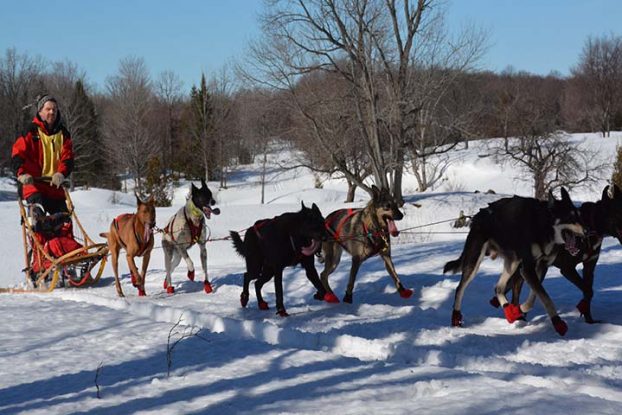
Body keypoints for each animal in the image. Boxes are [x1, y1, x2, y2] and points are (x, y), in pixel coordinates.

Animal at [443, 188, 584, 336]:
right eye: (569, 218)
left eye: (579, 217)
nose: (586, 231)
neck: (543, 225)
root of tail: (478, 215)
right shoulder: (527, 269)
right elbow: (544, 297)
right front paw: (557, 322)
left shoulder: (541, 266)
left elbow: (534, 298)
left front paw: (518, 311)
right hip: (475, 261)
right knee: (460, 289)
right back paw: (456, 317)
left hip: (513, 263)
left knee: (498, 288)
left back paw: (509, 311)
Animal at [492, 184, 622, 323]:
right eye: (618, 213)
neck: (591, 226)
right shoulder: (567, 268)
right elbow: (588, 291)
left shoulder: (589, 266)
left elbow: (588, 292)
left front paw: (589, 321)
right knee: (516, 291)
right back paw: (518, 316)